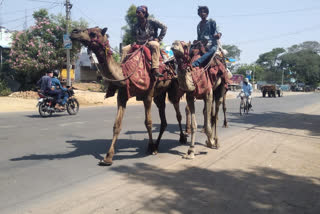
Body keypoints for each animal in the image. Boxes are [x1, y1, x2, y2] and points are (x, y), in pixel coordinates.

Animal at [69, 27, 186, 166]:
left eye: (93, 33)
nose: (74, 32)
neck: (126, 73)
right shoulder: (122, 96)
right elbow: (117, 125)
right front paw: (108, 158)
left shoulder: (148, 95)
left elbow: (148, 122)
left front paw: (151, 148)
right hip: (160, 93)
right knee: (163, 118)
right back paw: (157, 145)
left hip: (172, 88)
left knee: (177, 112)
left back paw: (182, 138)